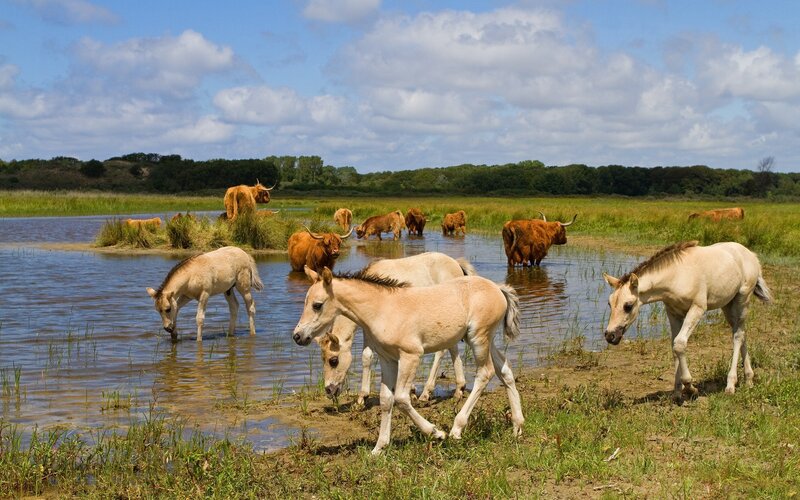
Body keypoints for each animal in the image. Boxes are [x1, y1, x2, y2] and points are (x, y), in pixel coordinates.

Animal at [316, 252, 475, 404]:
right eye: (322, 359)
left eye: (333, 360)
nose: (329, 390)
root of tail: (456, 264)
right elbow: (367, 356)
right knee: (452, 346)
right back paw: (459, 389)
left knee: (441, 351)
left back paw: (426, 393)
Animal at [602, 241, 772, 401]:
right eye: (609, 303)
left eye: (628, 306)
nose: (610, 335)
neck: (677, 275)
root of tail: (751, 255)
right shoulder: (673, 312)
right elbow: (674, 346)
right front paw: (677, 392)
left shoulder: (697, 308)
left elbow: (680, 343)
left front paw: (690, 388)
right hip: (727, 304)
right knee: (741, 333)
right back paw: (749, 379)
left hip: (742, 300)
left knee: (737, 336)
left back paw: (730, 385)